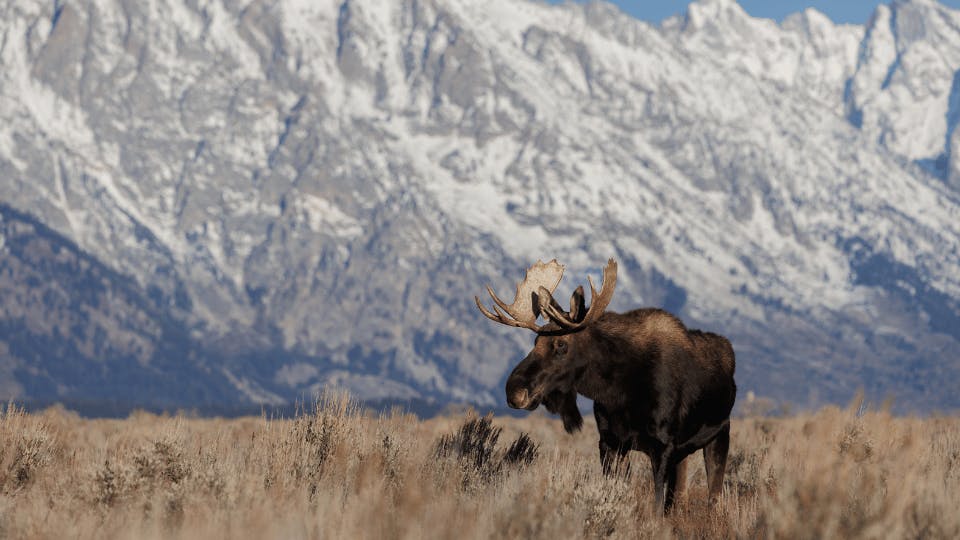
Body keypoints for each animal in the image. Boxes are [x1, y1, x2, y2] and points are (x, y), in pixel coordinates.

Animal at [476, 260, 740, 512]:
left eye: (561, 345)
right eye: (535, 341)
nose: (514, 391)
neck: (618, 392)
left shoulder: (662, 446)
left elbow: (656, 507)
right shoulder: (610, 442)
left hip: (720, 432)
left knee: (713, 496)